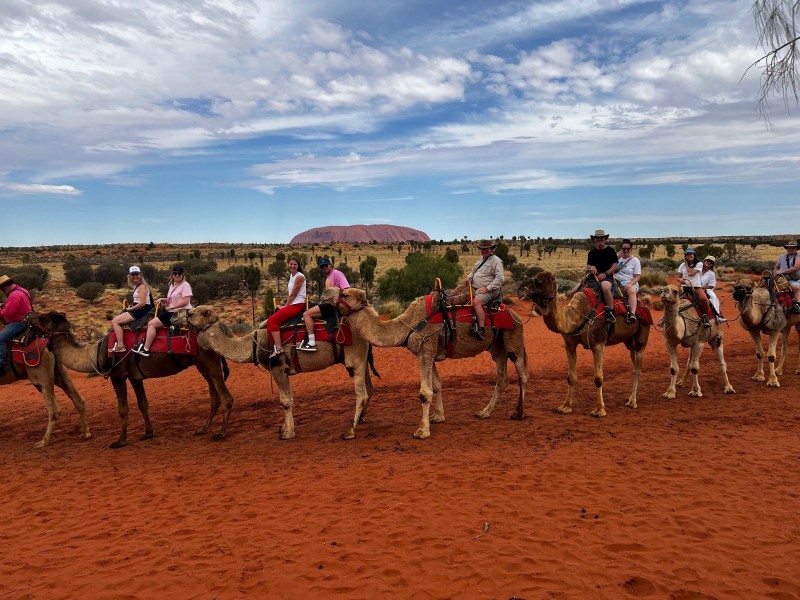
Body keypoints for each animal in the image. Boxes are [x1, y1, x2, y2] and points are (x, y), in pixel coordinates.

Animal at [37, 312, 234, 448]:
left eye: (46, 318)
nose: (32, 317)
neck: (96, 352)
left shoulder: (117, 376)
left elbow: (123, 409)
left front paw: (120, 441)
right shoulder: (135, 377)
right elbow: (142, 403)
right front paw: (148, 433)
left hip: (210, 364)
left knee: (226, 398)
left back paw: (221, 433)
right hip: (204, 367)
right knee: (215, 398)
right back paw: (203, 429)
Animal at [171, 304, 376, 440]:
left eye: (194, 312)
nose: (174, 315)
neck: (253, 344)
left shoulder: (277, 367)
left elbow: (285, 401)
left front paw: (288, 433)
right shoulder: (283, 370)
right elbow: (286, 399)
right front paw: (284, 429)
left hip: (355, 357)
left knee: (361, 393)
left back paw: (350, 431)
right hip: (362, 358)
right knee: (369, 388)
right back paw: (362, 420)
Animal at [322, 284, 528, 436]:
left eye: (345, 294)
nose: (324, 292)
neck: (409, 323)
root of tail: (515, 314)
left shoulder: (426, 350)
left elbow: (424, 393)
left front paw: (423, 430)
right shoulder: (429, 353)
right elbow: (436, 386)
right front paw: (438, 417)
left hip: (513, 340)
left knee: (522, 374)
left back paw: (519, 413)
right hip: (497, 348)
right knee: (501, 378)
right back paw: (485, 412)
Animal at [520, 272, 648, 418]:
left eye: (539, 282)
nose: (522, 289)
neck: (576, 317)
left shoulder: (598, 344)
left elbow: (598, 378)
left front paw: (599, 410)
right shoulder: (569, 345)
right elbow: (571, 376)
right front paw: (565, 406)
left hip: (641, 338)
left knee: (638, 368)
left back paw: (633, 402)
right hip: (629, 341)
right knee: (634, 364)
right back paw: (630, 399)